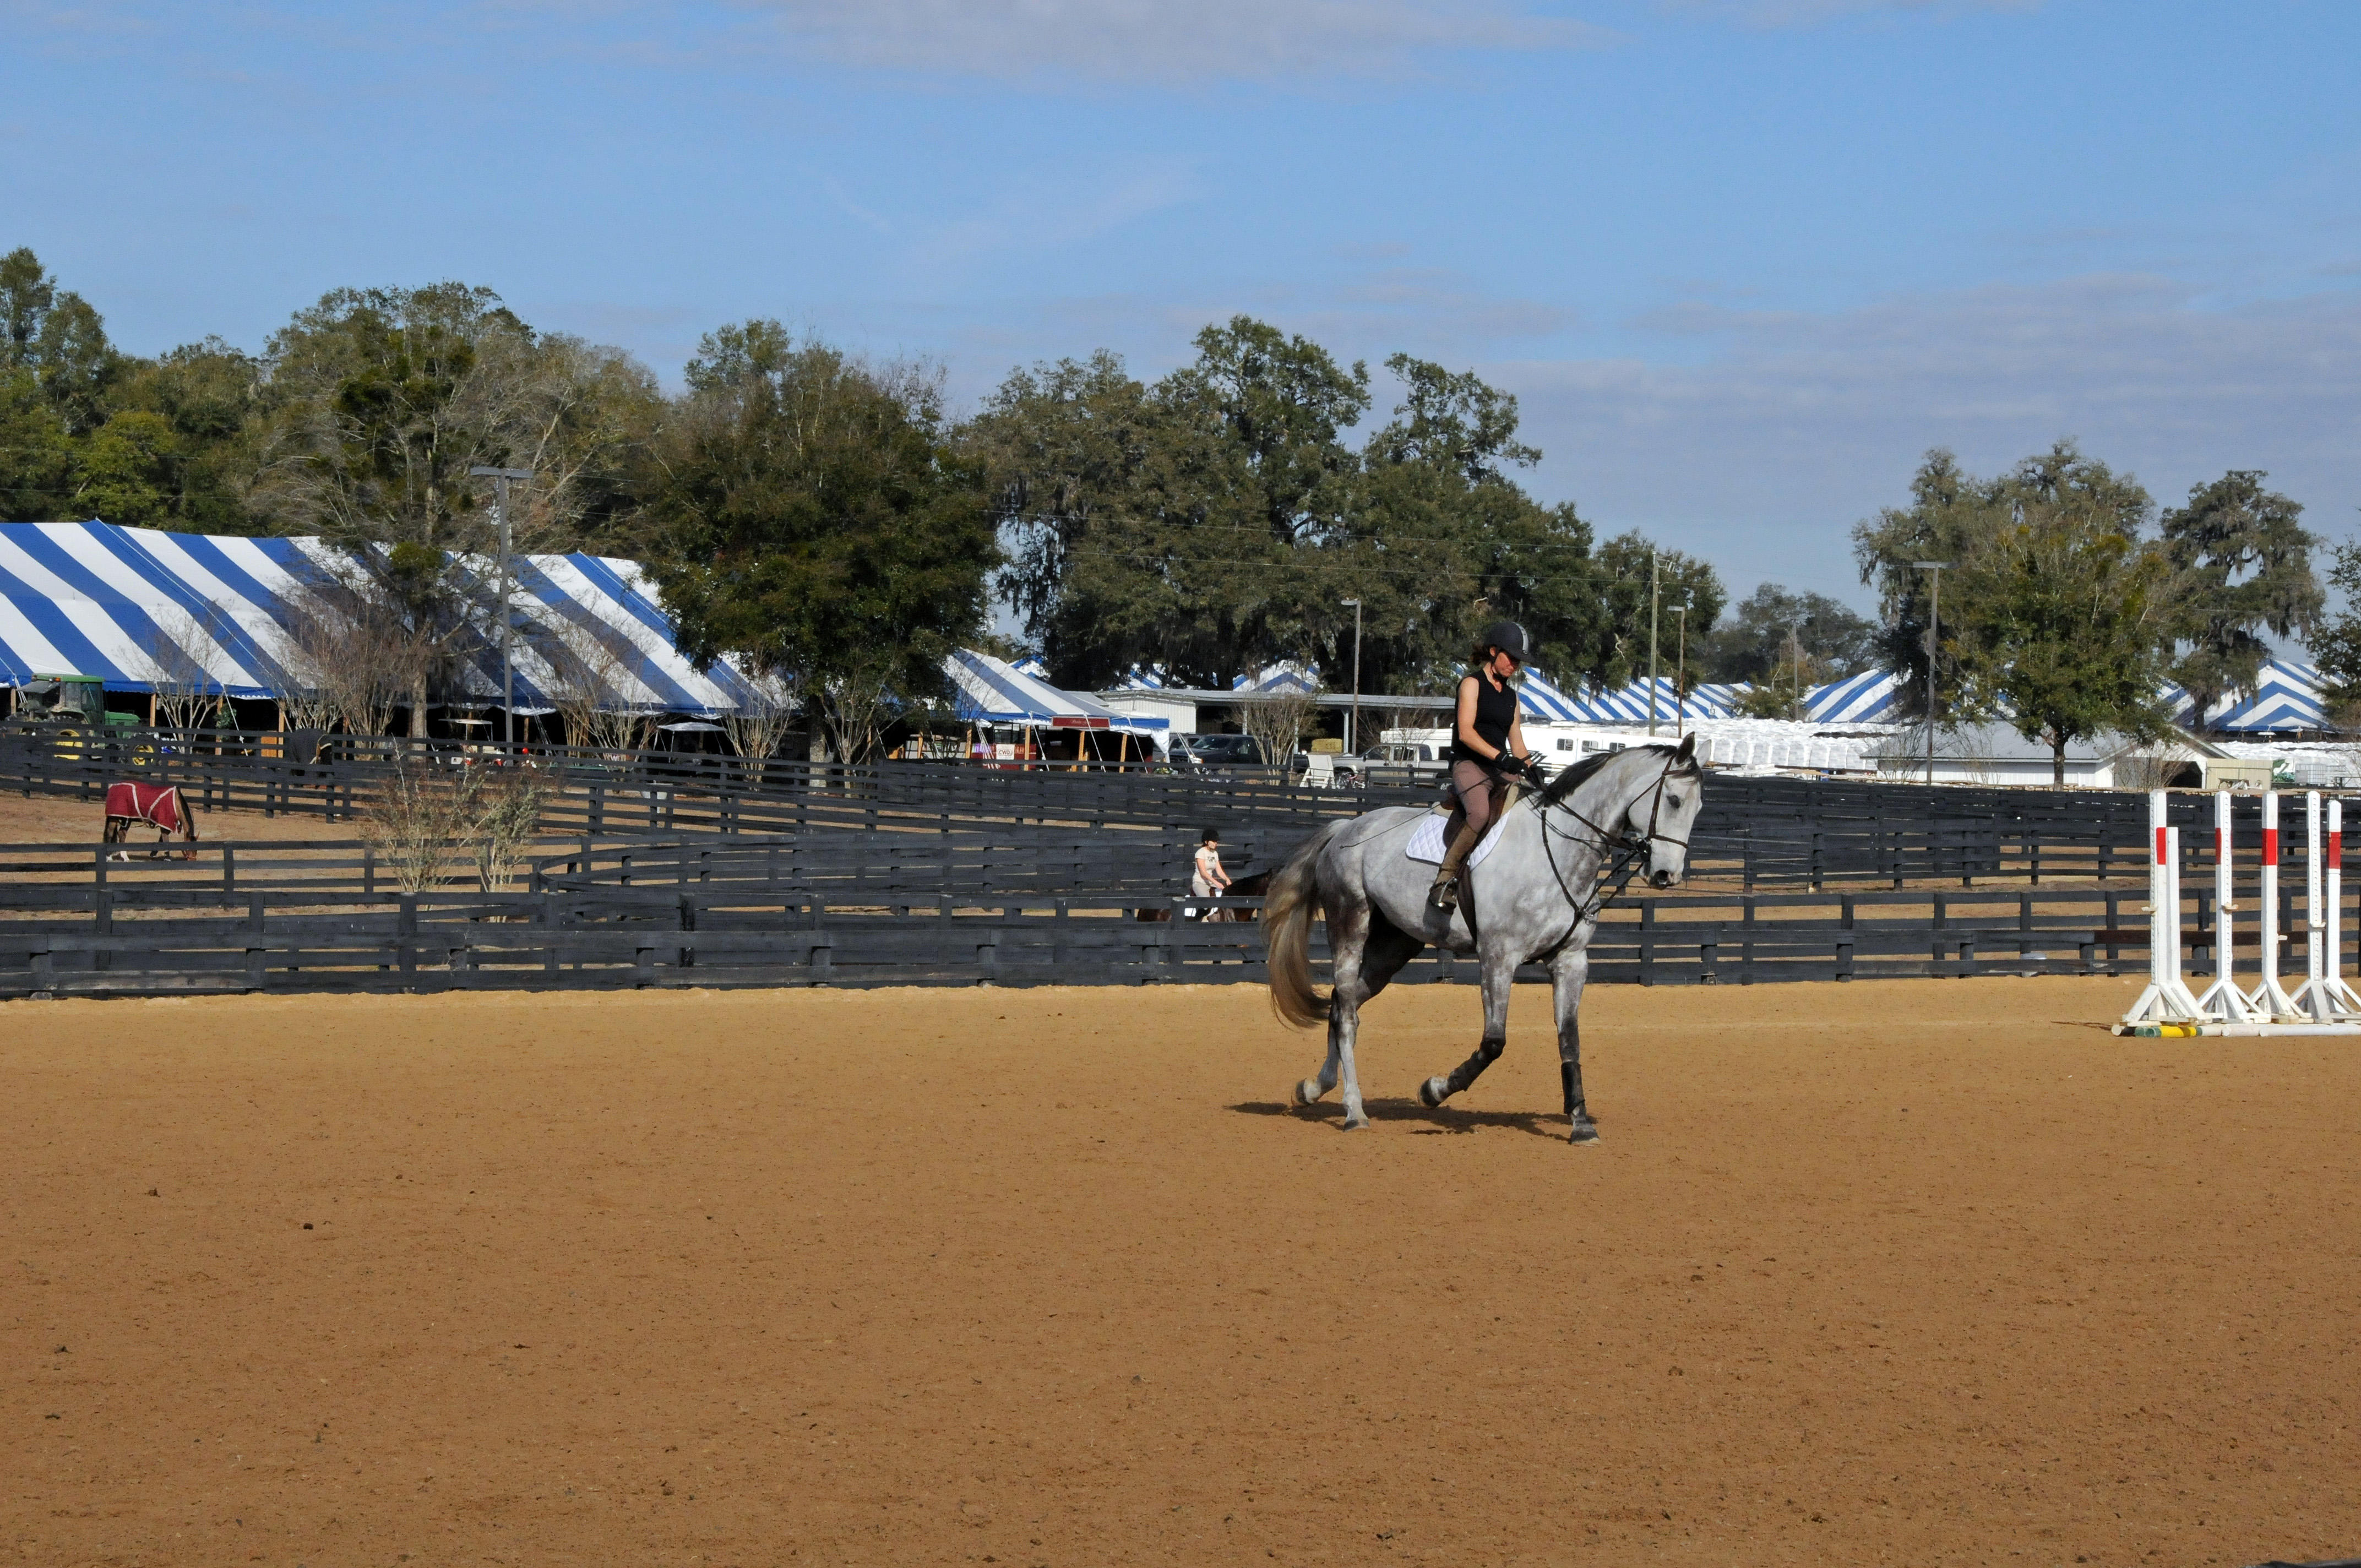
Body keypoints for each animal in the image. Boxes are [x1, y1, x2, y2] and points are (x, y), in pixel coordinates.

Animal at [101, 779, 198, 864]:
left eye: (196, 849)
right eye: (188, 848)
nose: (192, 860)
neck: (175, 803)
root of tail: (113, 787)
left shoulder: (168, 824)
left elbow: (161, 839)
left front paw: (153, 853)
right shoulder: (164, 824)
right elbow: (165, 840)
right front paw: (167, 858)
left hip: (127, 818)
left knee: (122, 834)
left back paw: (125, 857)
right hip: (114, 817)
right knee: (110, 833)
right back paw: (109, 857)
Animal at [1265, 741, 1709, 1147]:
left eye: (1698, 807)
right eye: (1673, 800)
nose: (1667, 876)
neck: (1558, 851)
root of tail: (1345, 828)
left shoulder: (1570, 961)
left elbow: (1569, 1039)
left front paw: (1581, 1124)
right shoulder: (1498, 957)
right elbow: (1494, 1042)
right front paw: (1435, 1090)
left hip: (1394, 947)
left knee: (1344, 1005)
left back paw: (1314, 1088)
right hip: (1350, 925)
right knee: (1346, 1011)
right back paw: (1354, 1111)